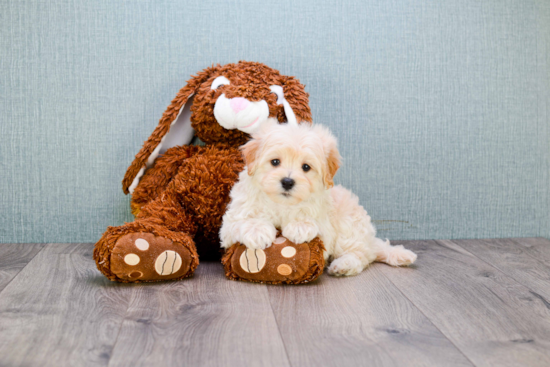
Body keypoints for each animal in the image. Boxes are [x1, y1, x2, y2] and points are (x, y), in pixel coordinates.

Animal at [221, 120, 418, 276]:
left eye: (306, 167)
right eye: (275, 162)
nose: (287, 182)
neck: (283, 204)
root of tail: (370, 239)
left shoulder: (326, 226)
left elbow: (314, 224)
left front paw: (300, 226)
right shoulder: (230, 223)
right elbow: (242, 221)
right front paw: (257, 231)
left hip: (349, 226)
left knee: (361, 255)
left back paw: (344, 265)